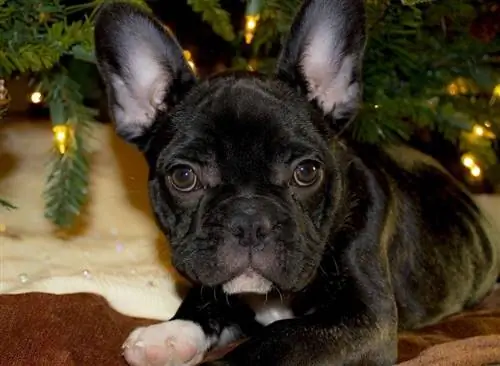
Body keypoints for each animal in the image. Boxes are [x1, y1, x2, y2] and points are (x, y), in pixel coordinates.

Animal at [94, 1, 500, 364]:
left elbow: (278, 337)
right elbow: (204, 298)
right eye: (183, 177)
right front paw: (170, 334)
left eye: (306, 172)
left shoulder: (364, 319)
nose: (249, 221)